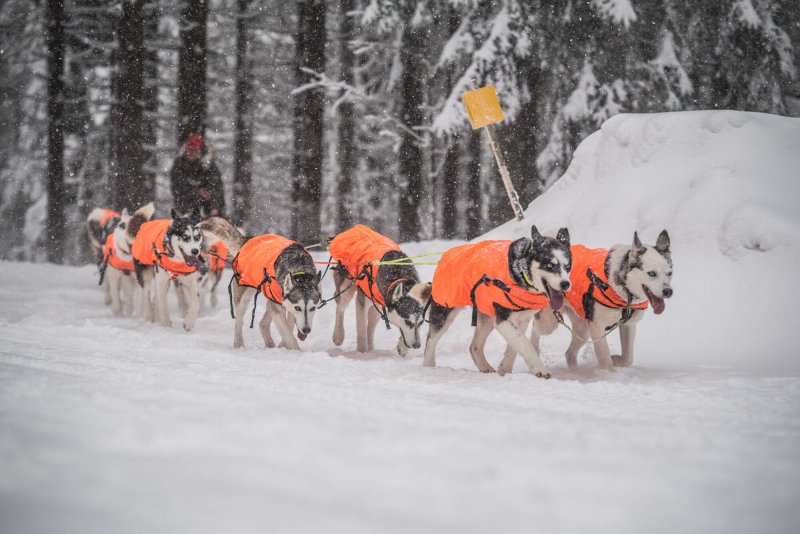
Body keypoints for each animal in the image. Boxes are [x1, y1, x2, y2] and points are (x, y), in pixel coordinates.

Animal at [422, 226, 572, 382]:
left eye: (568, 266)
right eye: (550, 265)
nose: (565, 284)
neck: (518, 273)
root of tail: (445, 256)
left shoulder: (521, 319)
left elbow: (515, 346)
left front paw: (505, 369)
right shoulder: (503, 320)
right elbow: (525, 343)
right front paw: (540, 369)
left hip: (486, 317)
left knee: (474, 346)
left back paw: (485, 367)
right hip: (443, 312)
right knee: (430, 341)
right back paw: (428, 366)